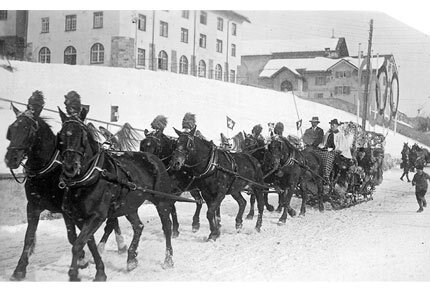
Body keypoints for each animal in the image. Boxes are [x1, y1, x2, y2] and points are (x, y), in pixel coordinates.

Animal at [4, 105, 126, 280]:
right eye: (11, 130)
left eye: (29, 130)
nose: (11, 158)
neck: (48, 171)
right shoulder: (33, 206)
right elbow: (29, 237)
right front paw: (20, 269)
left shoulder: (67, 210)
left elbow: (73, 237)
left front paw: (81, 261)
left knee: (111, 222)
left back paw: (120, 244)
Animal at [57, 109, 178, 280]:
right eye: (60, 135)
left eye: (82, 136)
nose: (69, 167)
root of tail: (155, 159)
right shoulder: (78, 217)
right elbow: (88, 243)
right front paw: (100, 271)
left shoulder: (97, 216)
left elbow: (78, 244)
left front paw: (74, 273)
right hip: (129, 206)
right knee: (138, 226)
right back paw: (131, 258)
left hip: (161, 201)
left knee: (166, 226)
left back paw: (168, 259)